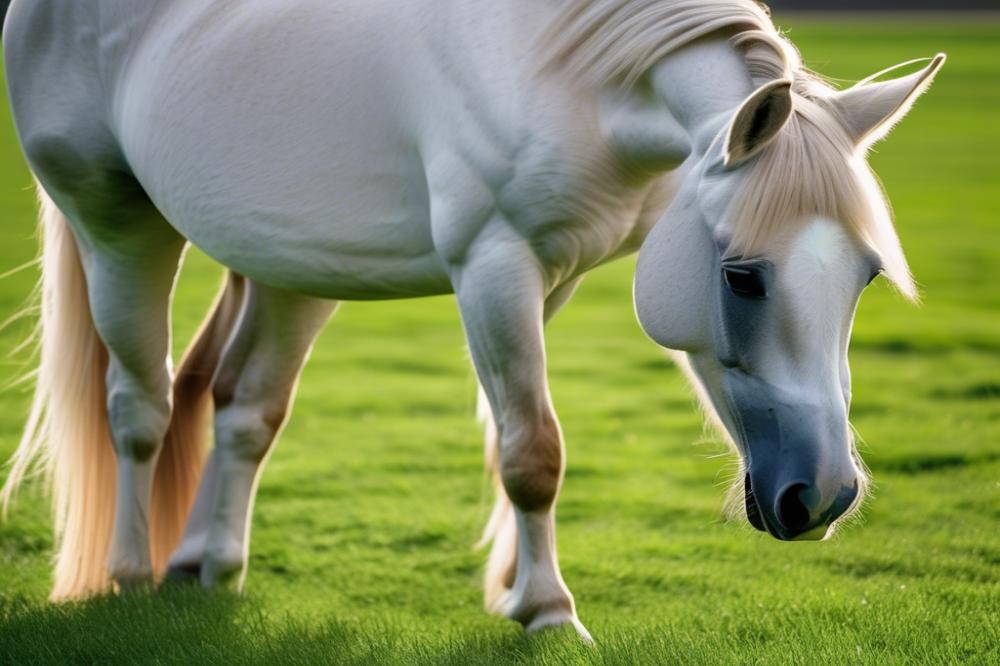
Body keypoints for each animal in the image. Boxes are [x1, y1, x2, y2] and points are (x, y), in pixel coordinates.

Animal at [0, 0, 940, 636]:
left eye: (864, 276)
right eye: (742, 278)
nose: (824, 496)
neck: (562, 67)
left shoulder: (549, 279)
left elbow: (510, 437)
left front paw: (517, 593)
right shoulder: (494, 265)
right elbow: (532, 452)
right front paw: (550, 612)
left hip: (288, 264)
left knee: (239, 405)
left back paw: (208, 564)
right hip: (117, 224)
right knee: (140, 407)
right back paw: (127, 577)